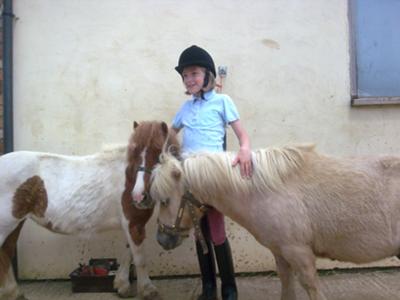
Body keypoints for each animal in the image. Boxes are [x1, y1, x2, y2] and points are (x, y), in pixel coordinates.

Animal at [0, 120, 178, 300]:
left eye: (158, 151)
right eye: (135, 152)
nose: (139, 196)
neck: (129, 180)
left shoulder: (131, 226)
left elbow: (129, 253)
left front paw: (122, 285)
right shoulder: (134, 224)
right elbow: (139, 258)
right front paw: (147, 289)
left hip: (16, 223)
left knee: (6, 252)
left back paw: (14, 293)